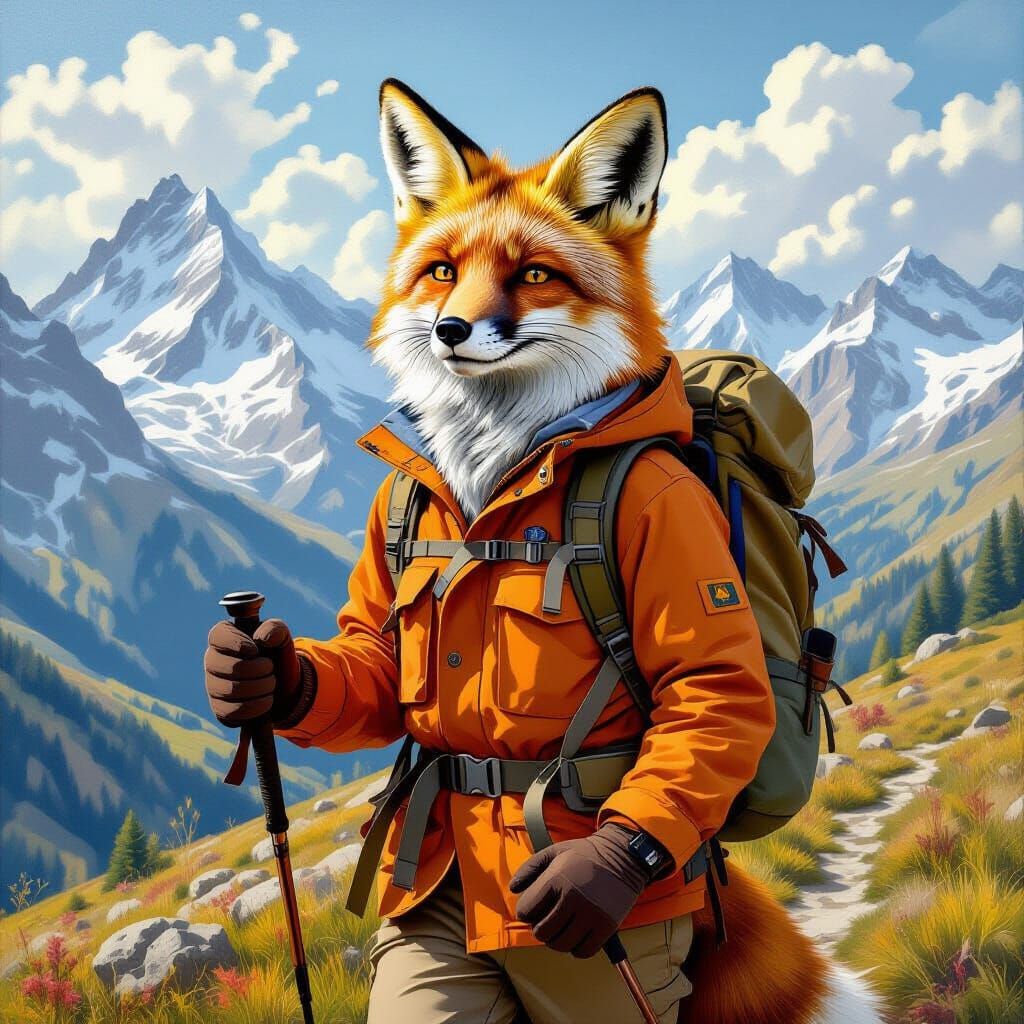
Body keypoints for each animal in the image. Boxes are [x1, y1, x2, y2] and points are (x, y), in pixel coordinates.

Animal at [362, 79, 883, 1024]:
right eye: (444, 270)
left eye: (534, 274)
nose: (452, 329)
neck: (500, 465)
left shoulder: (663, 507)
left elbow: (710, 681)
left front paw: (591, 878)